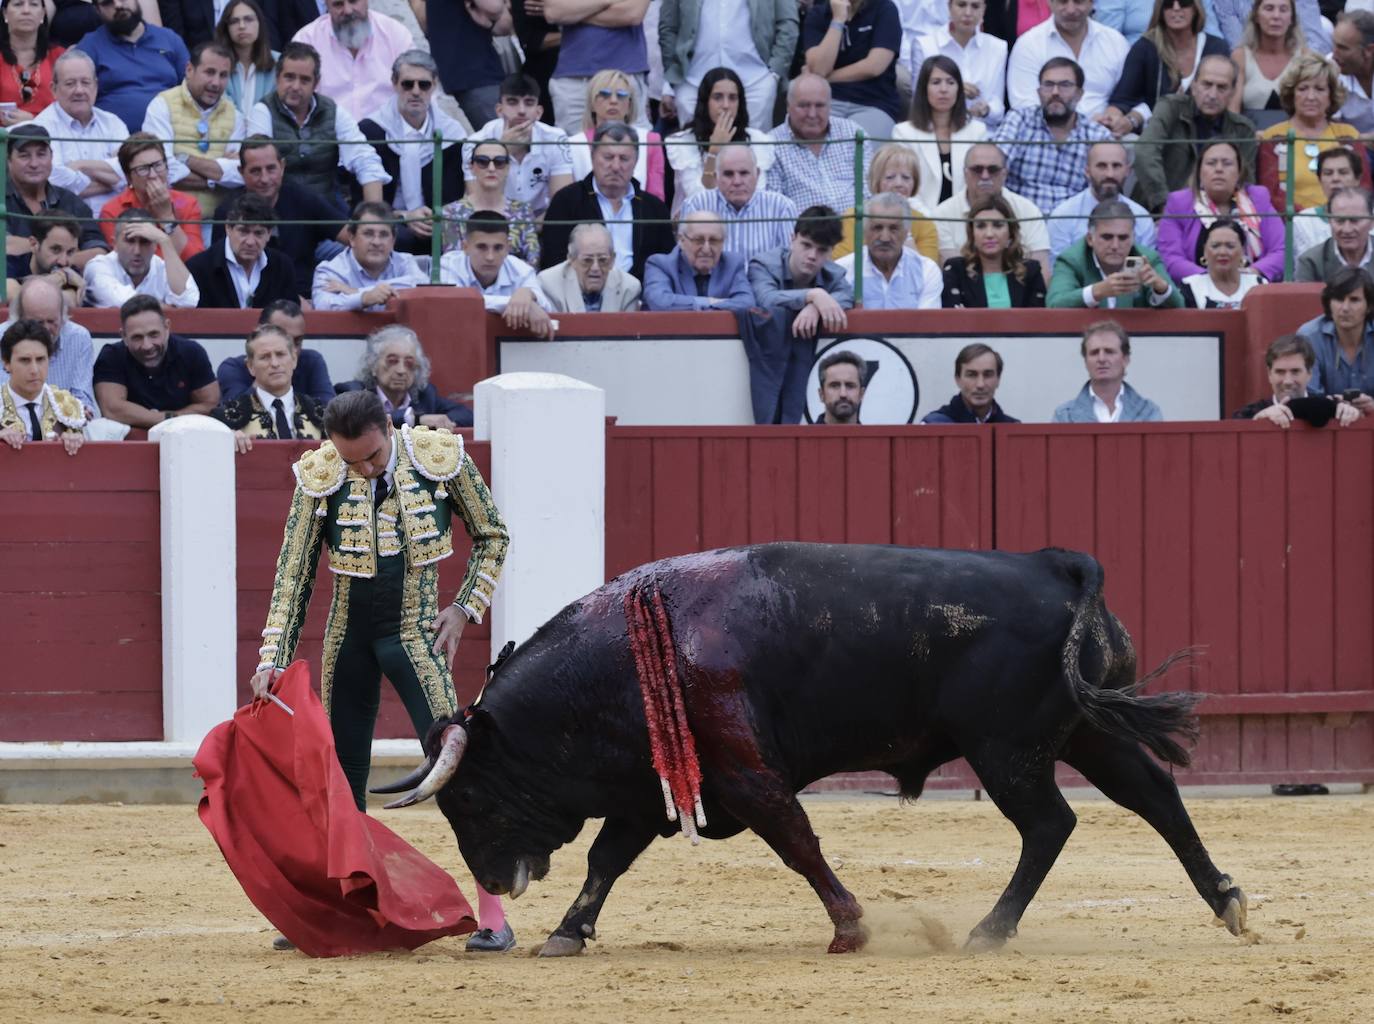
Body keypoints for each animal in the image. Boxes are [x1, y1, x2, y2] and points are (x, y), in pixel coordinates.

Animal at [373, 544, 1247, 951]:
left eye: (469, 795)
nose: (494, 882)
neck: (626, 652)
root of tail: (1054, 567)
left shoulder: (741, 773)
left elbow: (796, 840)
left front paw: (851, 928)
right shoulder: (652, 785)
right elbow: (606, 860)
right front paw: (567, 933)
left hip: (1008, 751)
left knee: (1050, 825)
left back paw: (989, 931)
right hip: (1089, 732)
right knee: (1153, 795)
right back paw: (1227, 901)